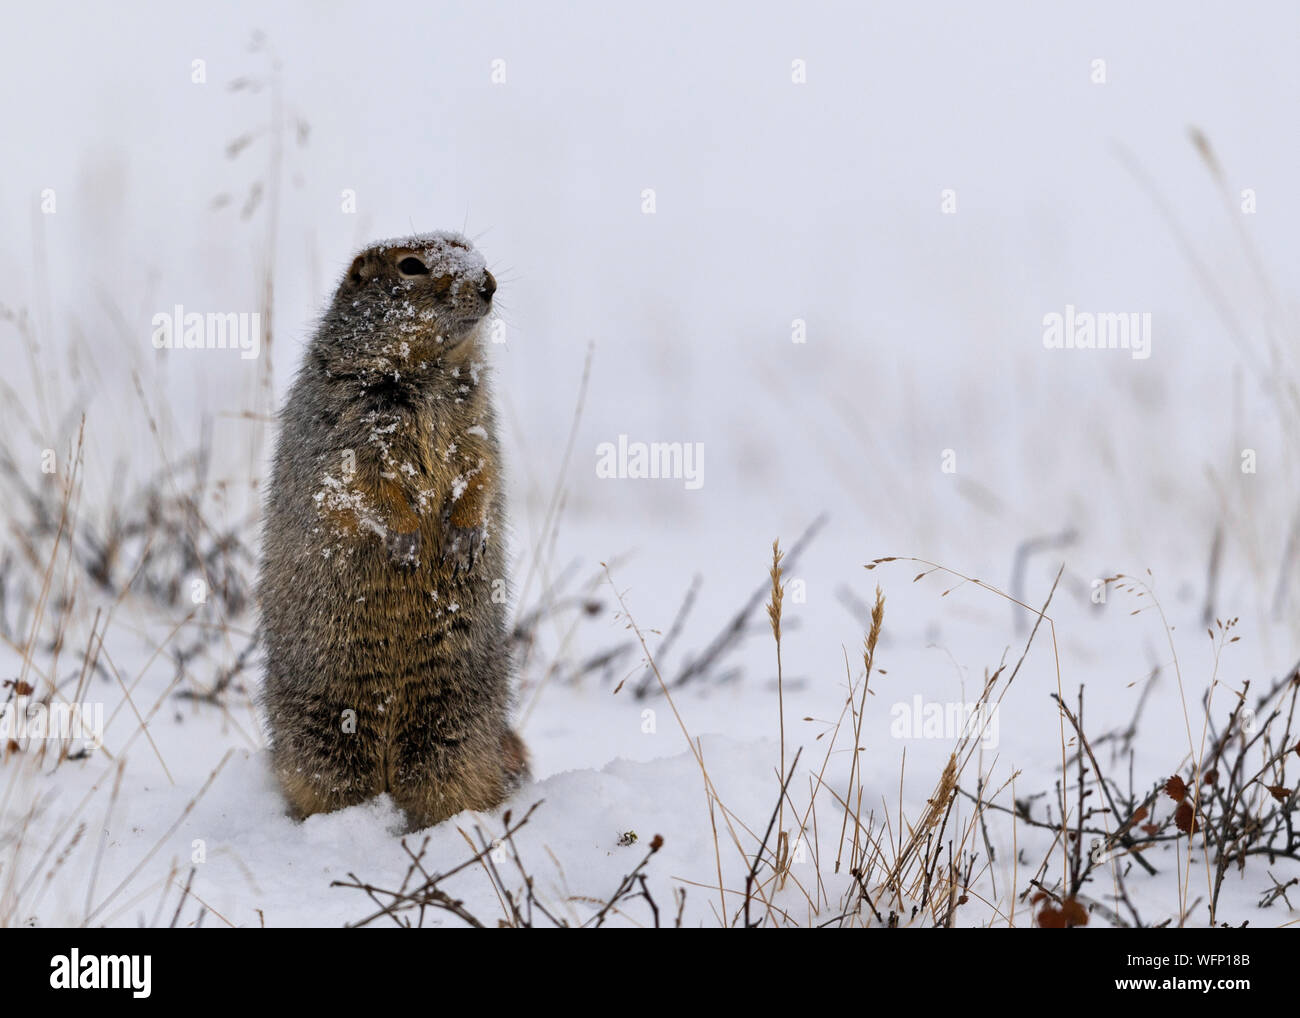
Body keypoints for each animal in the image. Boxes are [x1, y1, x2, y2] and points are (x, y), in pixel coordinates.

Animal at [258, 235, 527, 832]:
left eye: (468, 247)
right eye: (411, 266)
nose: (489, 282)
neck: (429, 371)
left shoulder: (477, 416)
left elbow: (481, 465)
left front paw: (465, 535)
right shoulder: (346, 413)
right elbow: (361, 477)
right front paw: (406, 539)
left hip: (457, 721)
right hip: (325, 725)